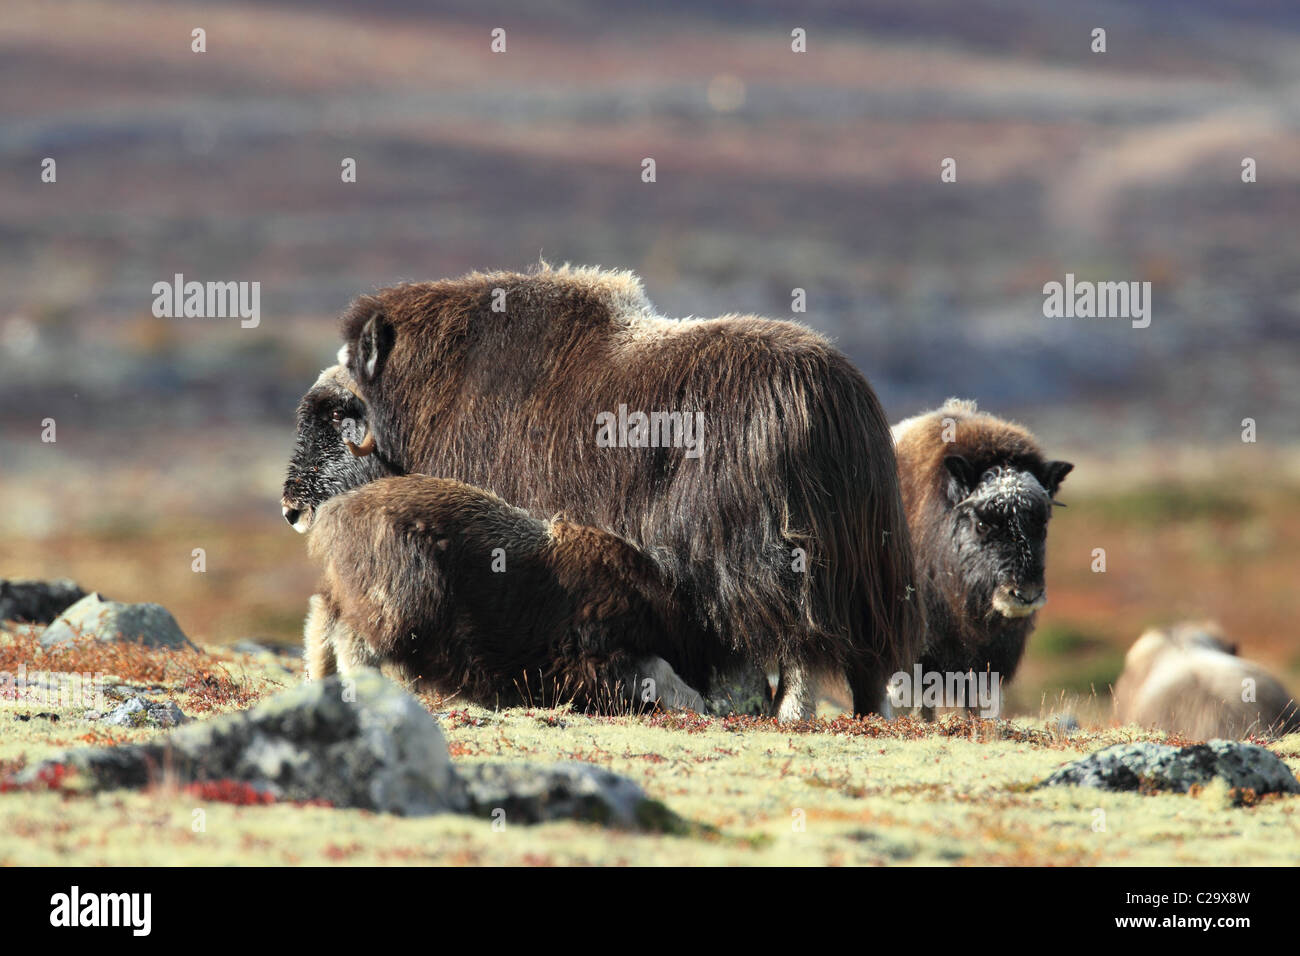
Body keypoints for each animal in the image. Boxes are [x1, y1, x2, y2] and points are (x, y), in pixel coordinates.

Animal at [284, 366, 707, 712]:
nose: (291, 510)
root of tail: (340, 513)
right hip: (394, 603)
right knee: (354, 641)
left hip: (349, 596)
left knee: (321, 628)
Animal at [335, 261, 925, 717]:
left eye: (345, 392)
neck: (440, 388)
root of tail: (835, 399)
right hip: (868, 576)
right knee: (863, 662)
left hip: (772, 563)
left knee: (795, 640)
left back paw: (785, 714)